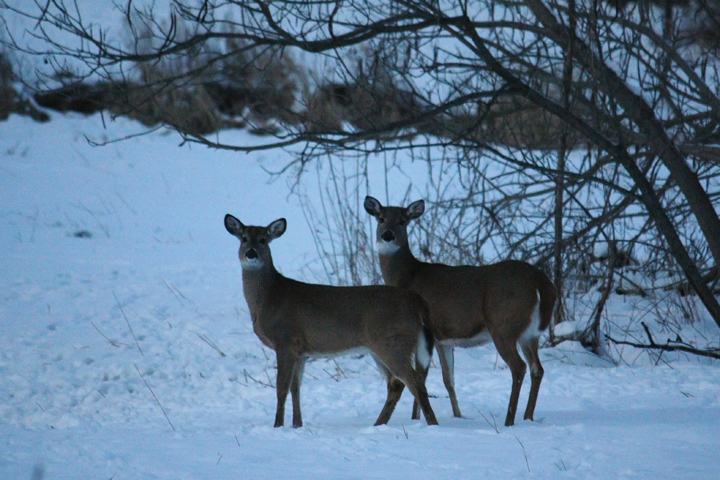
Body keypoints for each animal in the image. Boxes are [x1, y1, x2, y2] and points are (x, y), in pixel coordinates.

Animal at [224, 213, 439, 428]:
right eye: (243, 238)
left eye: (263, 240)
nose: (251, 253)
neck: (269, 297)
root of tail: (417, 301)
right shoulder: (300, 350)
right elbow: (296, 387)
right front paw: (297, 425)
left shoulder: (285, 340)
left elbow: (281, 387)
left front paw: (278, 425)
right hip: (378, 347)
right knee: (396, 383)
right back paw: (379, 424)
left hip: (393, 342)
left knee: (415, 381)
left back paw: (432, 425)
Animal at [364, 196, 556, 427]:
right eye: (381, 218)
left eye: (403, 220)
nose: (387, 235)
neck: (408, 276)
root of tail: (541, 284)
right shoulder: (444, 340)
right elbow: (449, 380)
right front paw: (457, 416)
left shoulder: (427, 334)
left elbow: (421, 378)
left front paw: (416, 418)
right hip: (530, 333)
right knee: (537, 368)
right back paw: (528, 417)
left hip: (503, 326)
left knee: (518, 367)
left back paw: (509, 420)